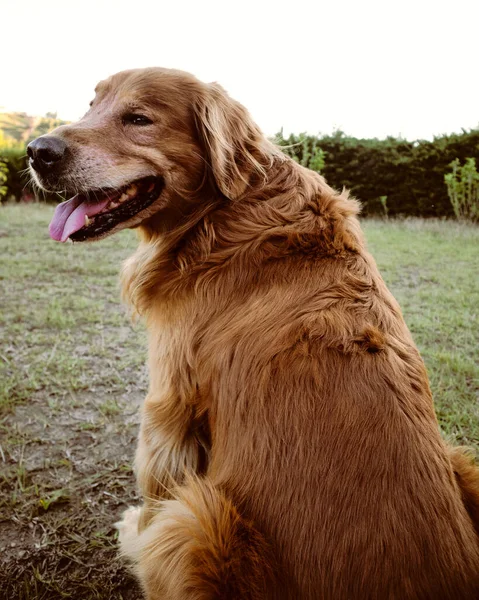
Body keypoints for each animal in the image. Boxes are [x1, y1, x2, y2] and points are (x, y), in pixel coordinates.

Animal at [28, 68, 479, 596]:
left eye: (138, 118)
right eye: (92, 105)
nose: (37, 150)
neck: (220, 215)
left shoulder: (167, 400)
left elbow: (156, 485)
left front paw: (135, 528)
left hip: (196, 520)